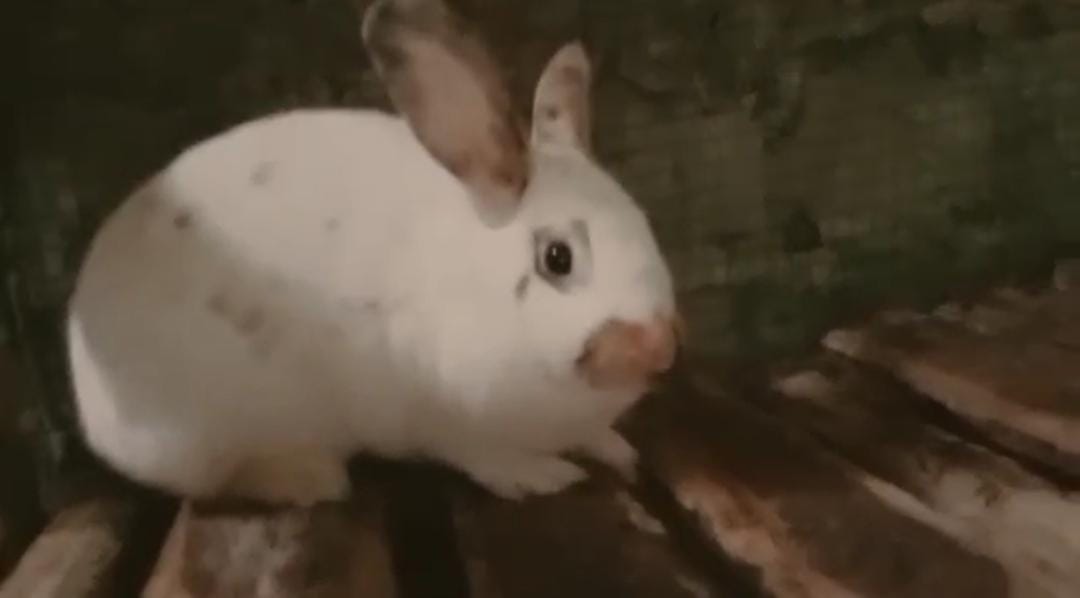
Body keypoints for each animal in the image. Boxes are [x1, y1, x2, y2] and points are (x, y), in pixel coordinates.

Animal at [64, 0, 680, 506]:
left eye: (647, 225)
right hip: (203, 435)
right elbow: (478, 454)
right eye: (557, 258)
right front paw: (541, 476)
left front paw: (616, 448)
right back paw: (308, 477)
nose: (658, 347)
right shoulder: (433, 417)